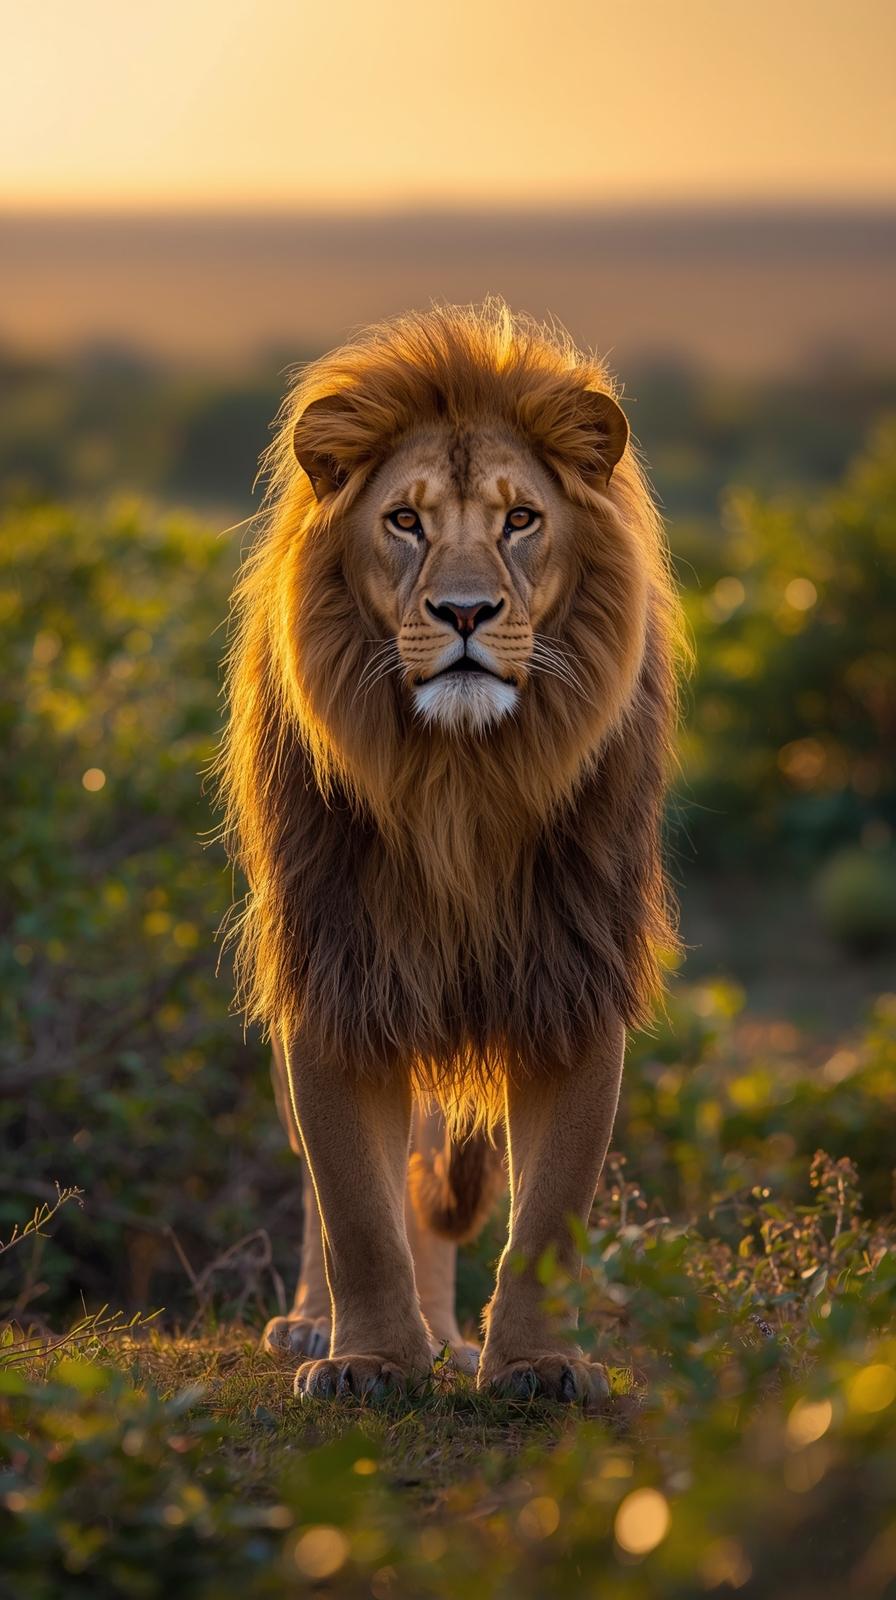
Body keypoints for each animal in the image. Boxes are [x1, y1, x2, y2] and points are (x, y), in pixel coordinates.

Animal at [217, 299, 681, 1402]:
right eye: (404, 521)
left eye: (519, 520)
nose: (465, 612)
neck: (457, 782)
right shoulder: (335, 969)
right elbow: (354, 1208)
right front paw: (366, 1360)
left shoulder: (573, 973)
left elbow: (548, 1212)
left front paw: (538, 1365)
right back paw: (322, 1326)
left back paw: (445, 1334)